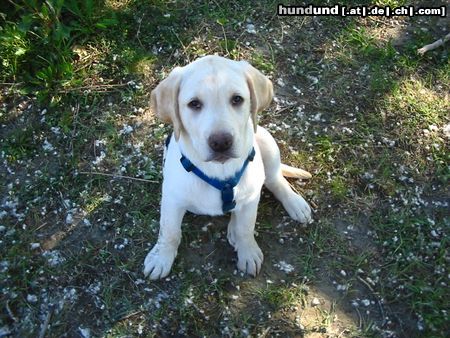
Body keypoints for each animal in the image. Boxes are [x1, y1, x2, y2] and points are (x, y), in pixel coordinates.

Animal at [144, 55, 312, 280]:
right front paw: (161, 258)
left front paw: (248, 252)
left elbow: (246, 228)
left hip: (265, 140)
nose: (221, 142)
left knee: (275, 179)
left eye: (237, 99)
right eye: (194, 104)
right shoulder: (172, 199)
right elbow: (169, 231)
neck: (218, 171)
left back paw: (294, 204)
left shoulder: (251, 198)